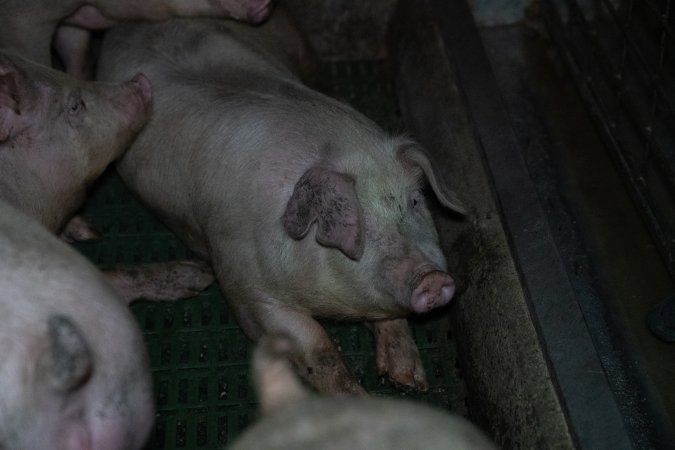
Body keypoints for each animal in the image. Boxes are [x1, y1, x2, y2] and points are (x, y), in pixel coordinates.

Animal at [97, 8, 466, 394]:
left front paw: (410, 382)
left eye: (414, 201)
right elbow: (316, 349)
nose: (432, 278)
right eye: (358, 222)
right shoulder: (243, 285)